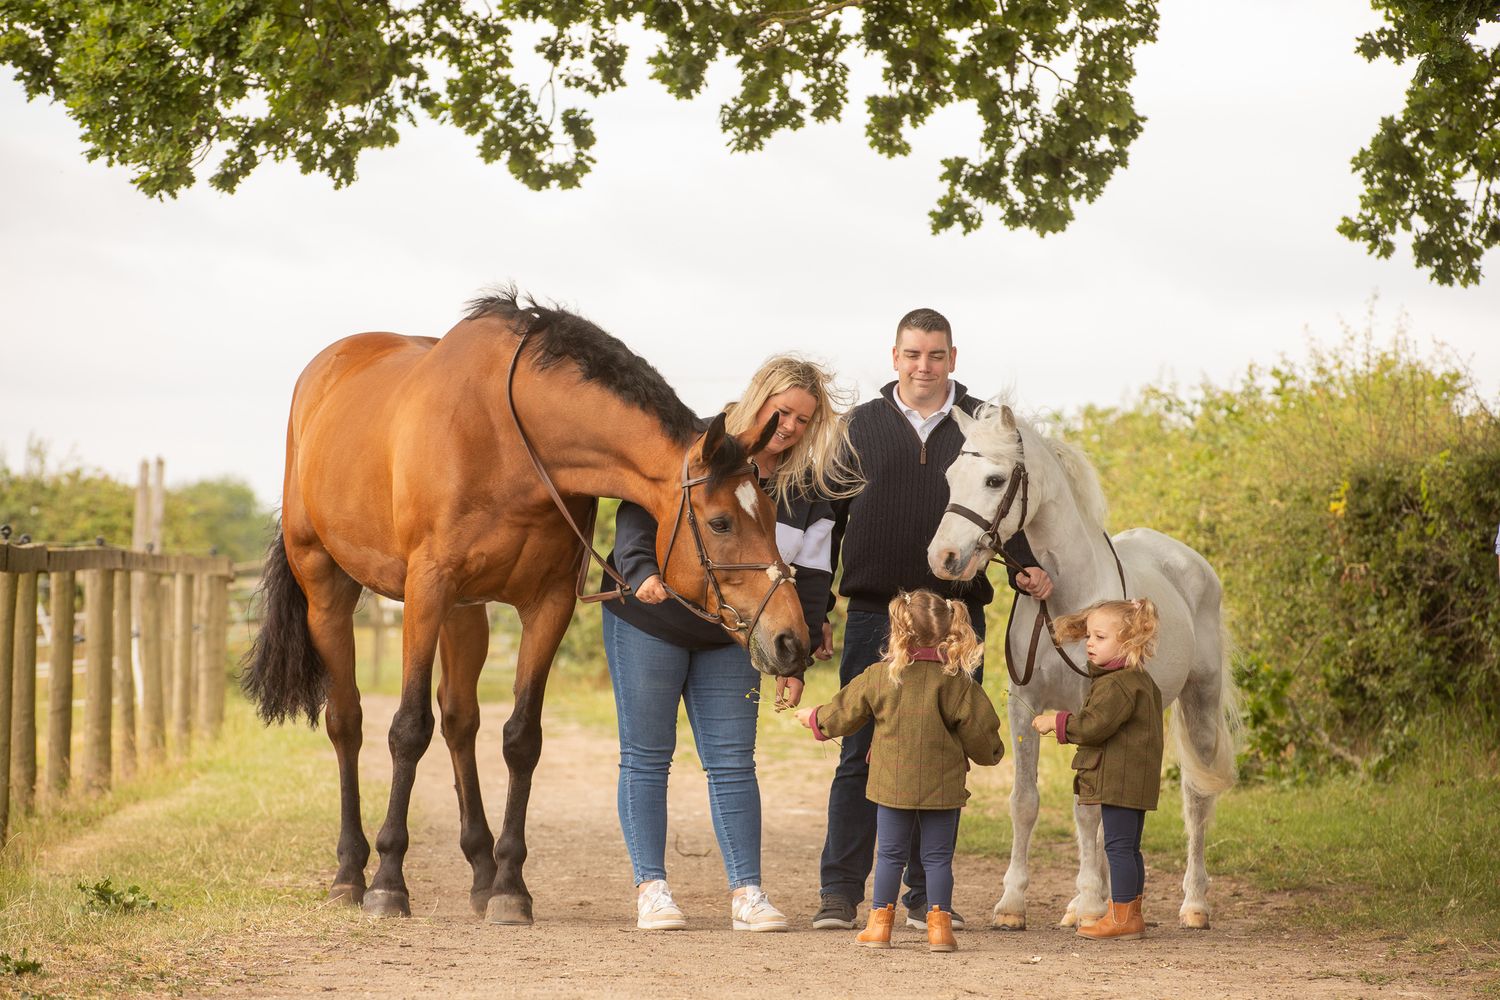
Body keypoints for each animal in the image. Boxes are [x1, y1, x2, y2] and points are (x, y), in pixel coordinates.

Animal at [242, 291, 811, 925]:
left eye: (771, 510)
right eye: (721, 522)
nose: (791, 640)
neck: (508, 437)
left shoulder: (548, 602)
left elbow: (521, 738)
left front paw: (510, 885)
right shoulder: (426, 588)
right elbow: (408, 729)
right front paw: (389, 881)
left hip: (464, 612)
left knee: (460, 720)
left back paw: (480, 868)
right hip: (329, 591)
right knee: (348, 722)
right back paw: (350, 872)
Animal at [926, 403, 1240, 930]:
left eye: (994, 479)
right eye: (949, 478)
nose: (943, 557)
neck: (1067, 599)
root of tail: (1190, 563)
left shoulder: (1091, 710)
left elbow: (1086, 810)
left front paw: (1092, 900)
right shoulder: (1024, 707)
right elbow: (1026, 802)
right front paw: (1013, 904)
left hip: (1199, 702)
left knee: (1196, 799)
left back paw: (1193, 904)